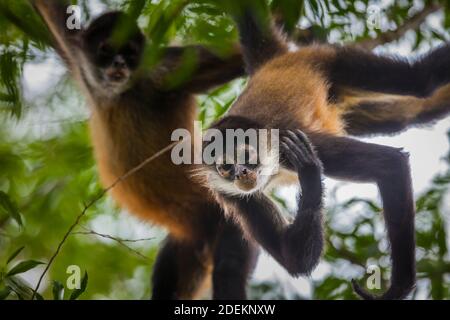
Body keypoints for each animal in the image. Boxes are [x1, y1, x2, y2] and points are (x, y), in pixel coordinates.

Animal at [30, 0, 260, 300]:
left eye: (129, 53)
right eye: (107, 49)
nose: (118, 63)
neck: (120, 92)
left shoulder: (165, 67)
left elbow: (238, 57)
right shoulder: (77, 55)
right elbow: (52, 13)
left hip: (231, 217)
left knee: (228, 270)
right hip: (189, 242)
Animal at [199, 0, 450, 300]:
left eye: (246, 156)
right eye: (226, 167)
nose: (241, 174)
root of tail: (273, 64)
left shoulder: (293, 141)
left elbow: (390, 164)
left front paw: (397, 288)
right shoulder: (229, 193)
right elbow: (294, 260)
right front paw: (310, 176)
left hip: (332, 60)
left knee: (421, 79)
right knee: (412, 113)